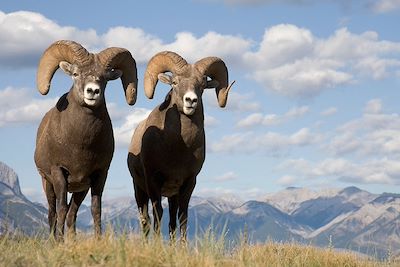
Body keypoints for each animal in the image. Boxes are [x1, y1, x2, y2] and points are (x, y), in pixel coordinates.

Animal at [34, 40, 138, 241]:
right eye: (75, 74)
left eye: (104, 78)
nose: (92, 91)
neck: (80, 145)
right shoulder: (58, 172)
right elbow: (60, 209)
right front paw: (59, 242)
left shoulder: (99, 174)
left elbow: (95, 209)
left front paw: (98, 240)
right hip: (47, 183)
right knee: (52, 213)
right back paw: (54, 240)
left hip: (80, 189)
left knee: (72, 213)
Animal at [127, 51, 234, 242]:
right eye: (175, 82)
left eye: (202, 85)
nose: (191, 100)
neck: (178, 149)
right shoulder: (153, 181)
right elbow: (157, 213)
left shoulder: (188, 183)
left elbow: (182, 216)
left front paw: (182, 246)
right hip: (139, 189)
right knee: (145, 219)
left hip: (172, 196)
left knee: (171, 220)